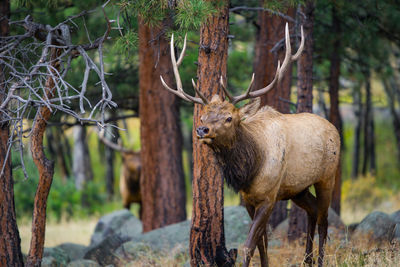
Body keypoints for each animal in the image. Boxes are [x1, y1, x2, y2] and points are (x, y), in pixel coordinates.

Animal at [159, 23, 340, 267]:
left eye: (229, 118)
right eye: (203, 116)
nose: (201, 130)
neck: (251, 168)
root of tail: (334, 129)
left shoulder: (269, 197)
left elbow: (248, 245)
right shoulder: (248, 200)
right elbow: (262, 244)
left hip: (327, 177)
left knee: (324, 219)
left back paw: (319, 261)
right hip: (298, 188)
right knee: (312, 212)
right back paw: (307, 260)